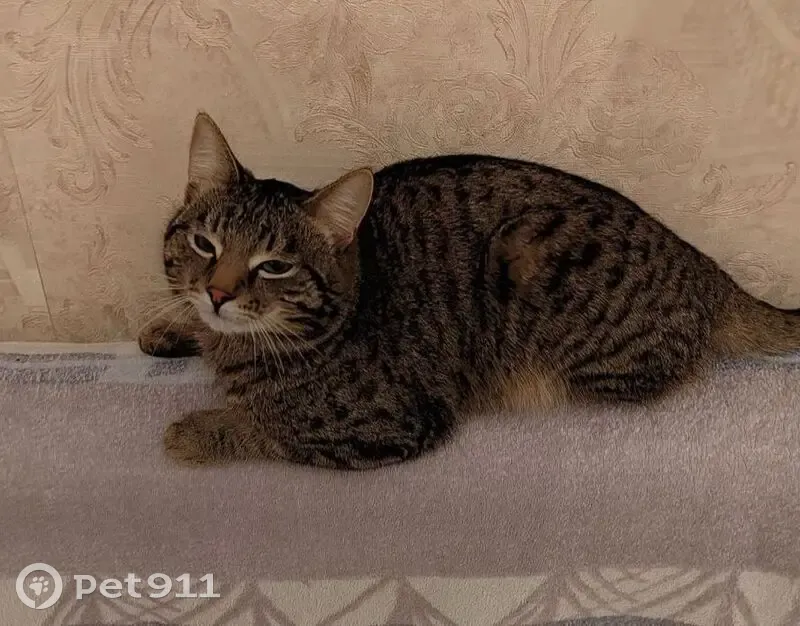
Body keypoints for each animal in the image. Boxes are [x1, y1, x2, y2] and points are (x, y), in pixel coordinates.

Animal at [139, 112, 800, 469]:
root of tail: (705, 267)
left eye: (274, 266)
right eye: (204, 245)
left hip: (533, 262)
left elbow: (270, 425)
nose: (219, 293)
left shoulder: (388, 423)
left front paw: (195, 430)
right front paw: (170, 327)